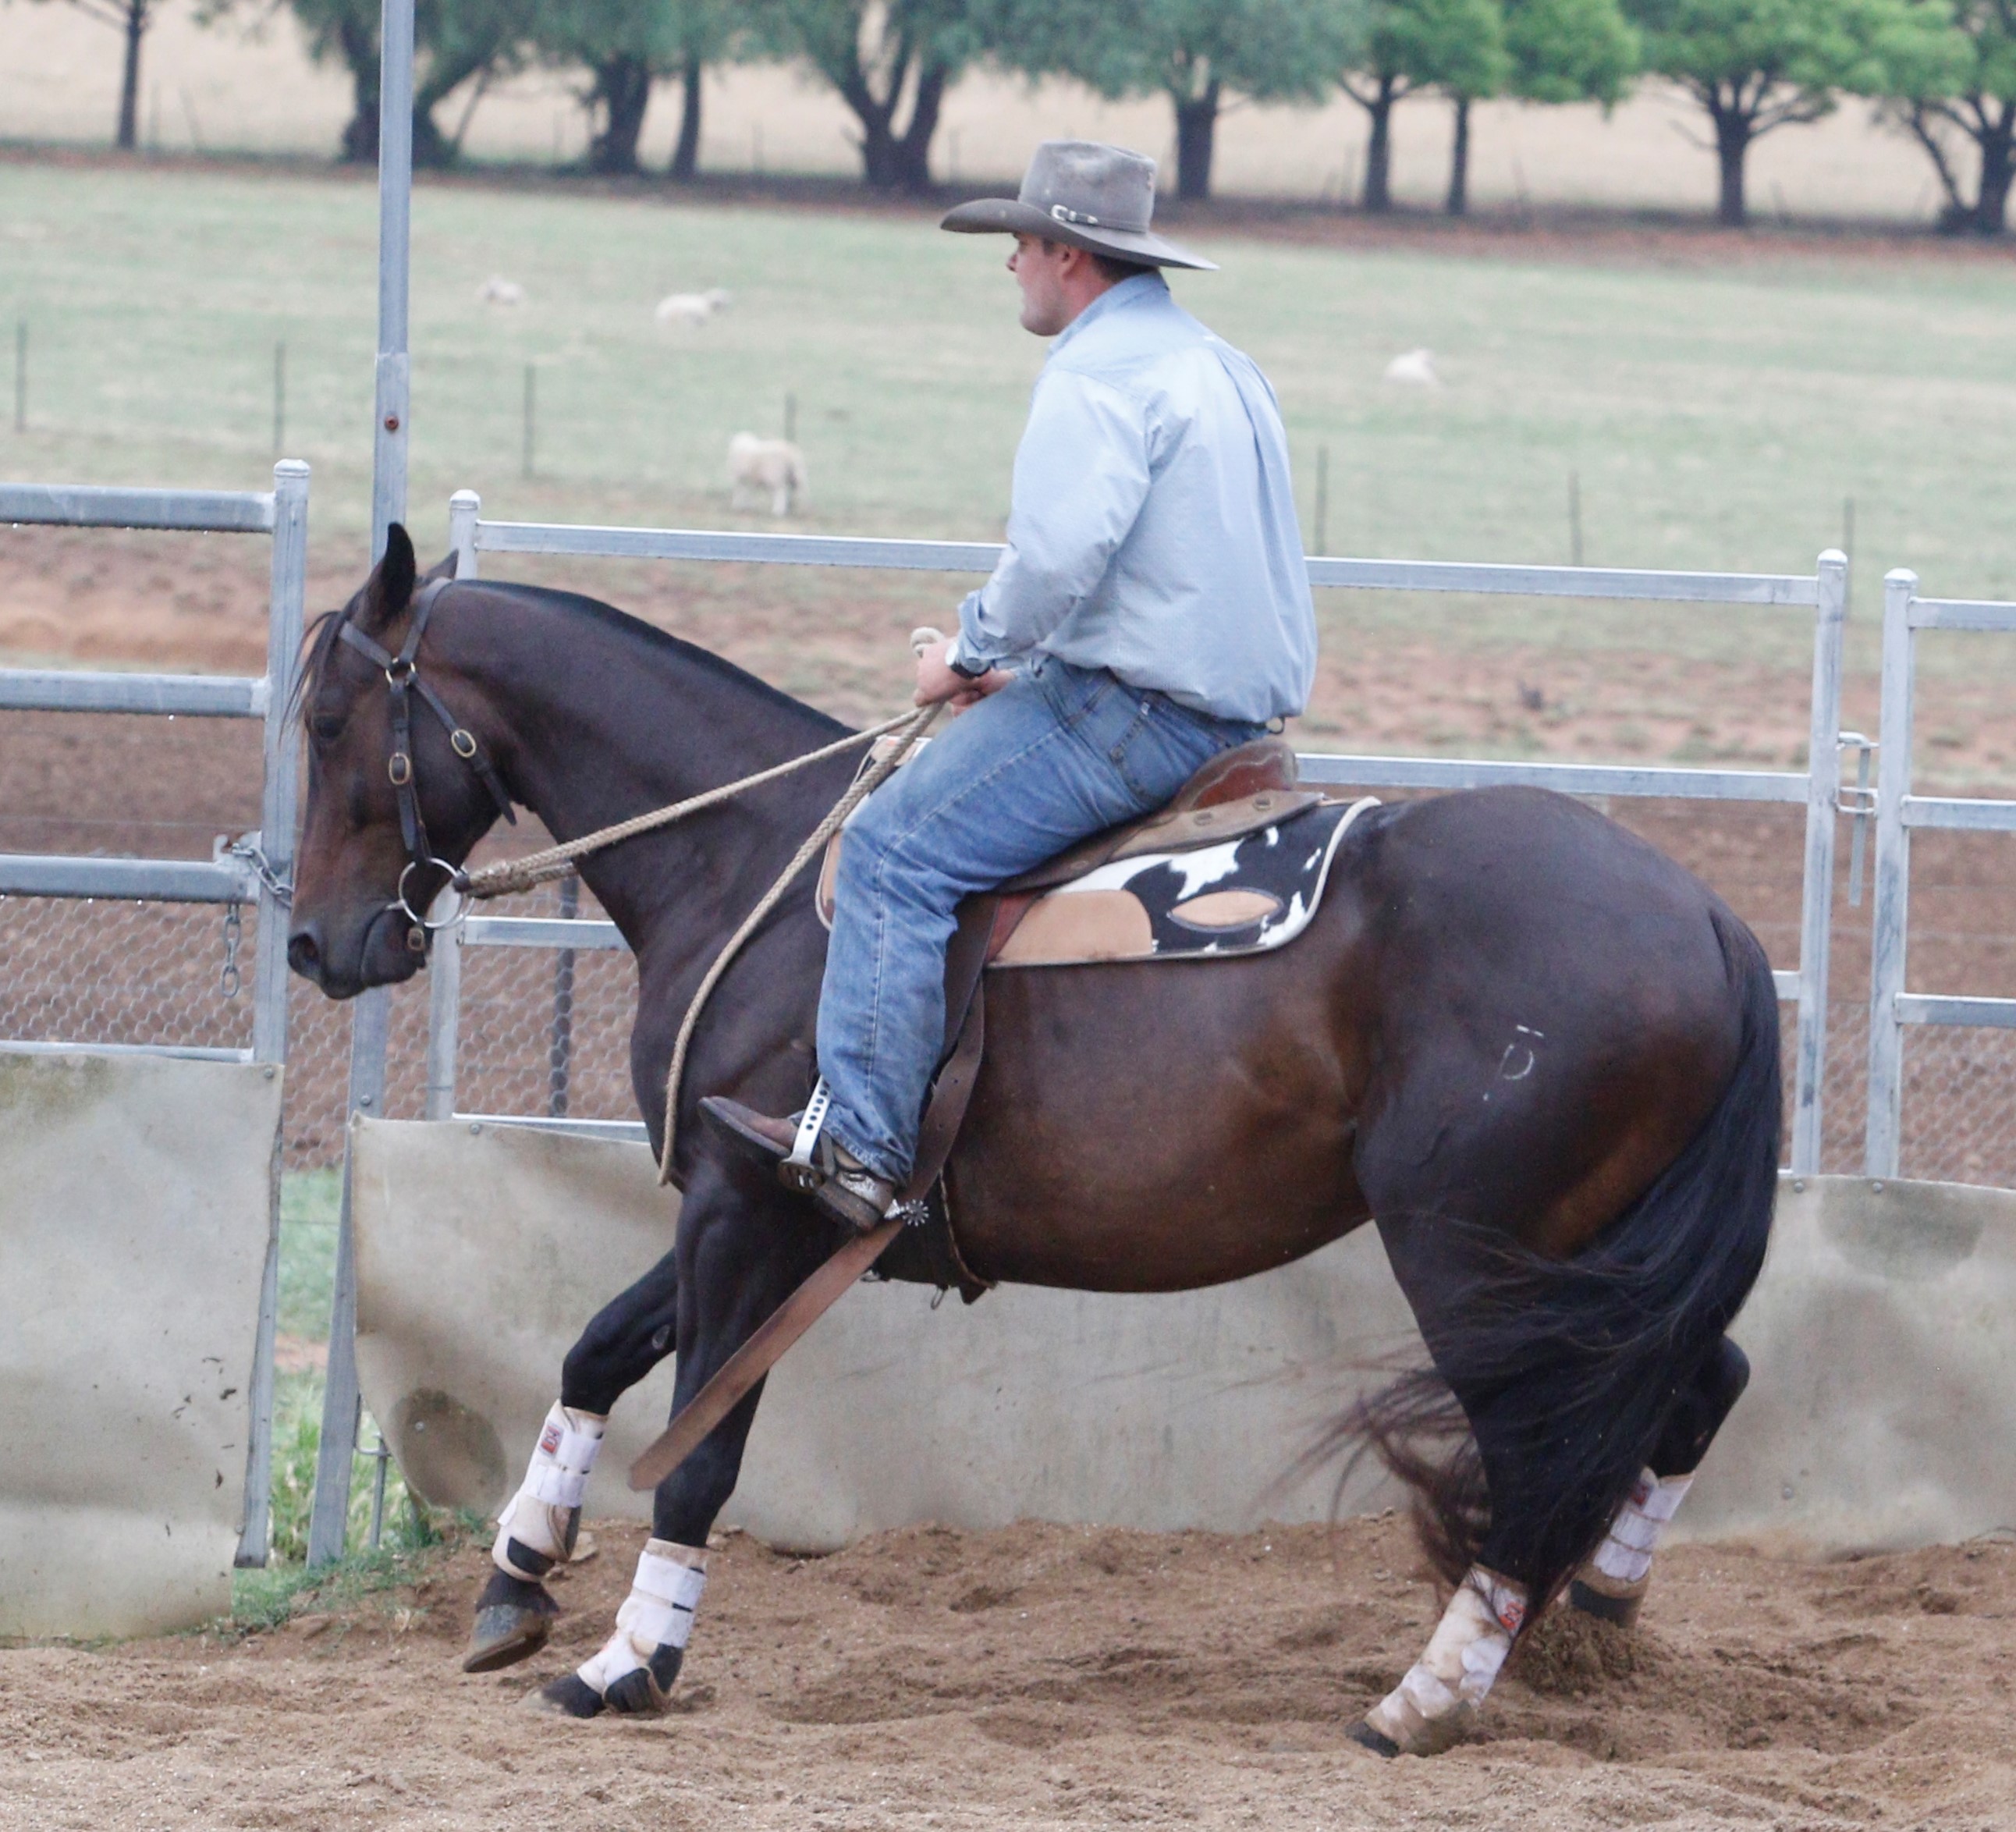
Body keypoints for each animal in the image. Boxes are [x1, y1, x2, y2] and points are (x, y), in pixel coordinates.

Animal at [286, 525, 1779, 1754]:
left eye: (327, 719)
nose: (313, 944)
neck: (744, 852)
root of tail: (1710, 919)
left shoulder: (754, 1207)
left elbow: (701, 1444)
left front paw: (628, 1659)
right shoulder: (745, 1201)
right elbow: (598, 1347)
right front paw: (516, 1572)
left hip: (1478, 1259)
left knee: (1539, 1457)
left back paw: (1428, 1694)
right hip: (1589, 1266)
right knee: (1695, 1387)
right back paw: (1592, 1618)